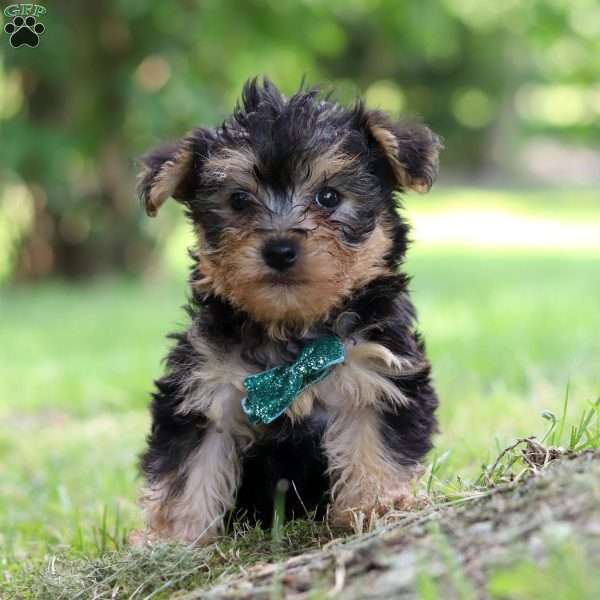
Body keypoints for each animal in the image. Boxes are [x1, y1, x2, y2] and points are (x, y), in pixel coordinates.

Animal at [136, 77, 440, 540]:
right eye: (239, 200)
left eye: (329, 197)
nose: (279, 249)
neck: (291, 329)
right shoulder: (204, 386)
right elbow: (190, 465)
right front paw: (176, 538)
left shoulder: (377, 369)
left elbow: (372, 438)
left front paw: (376, 505)